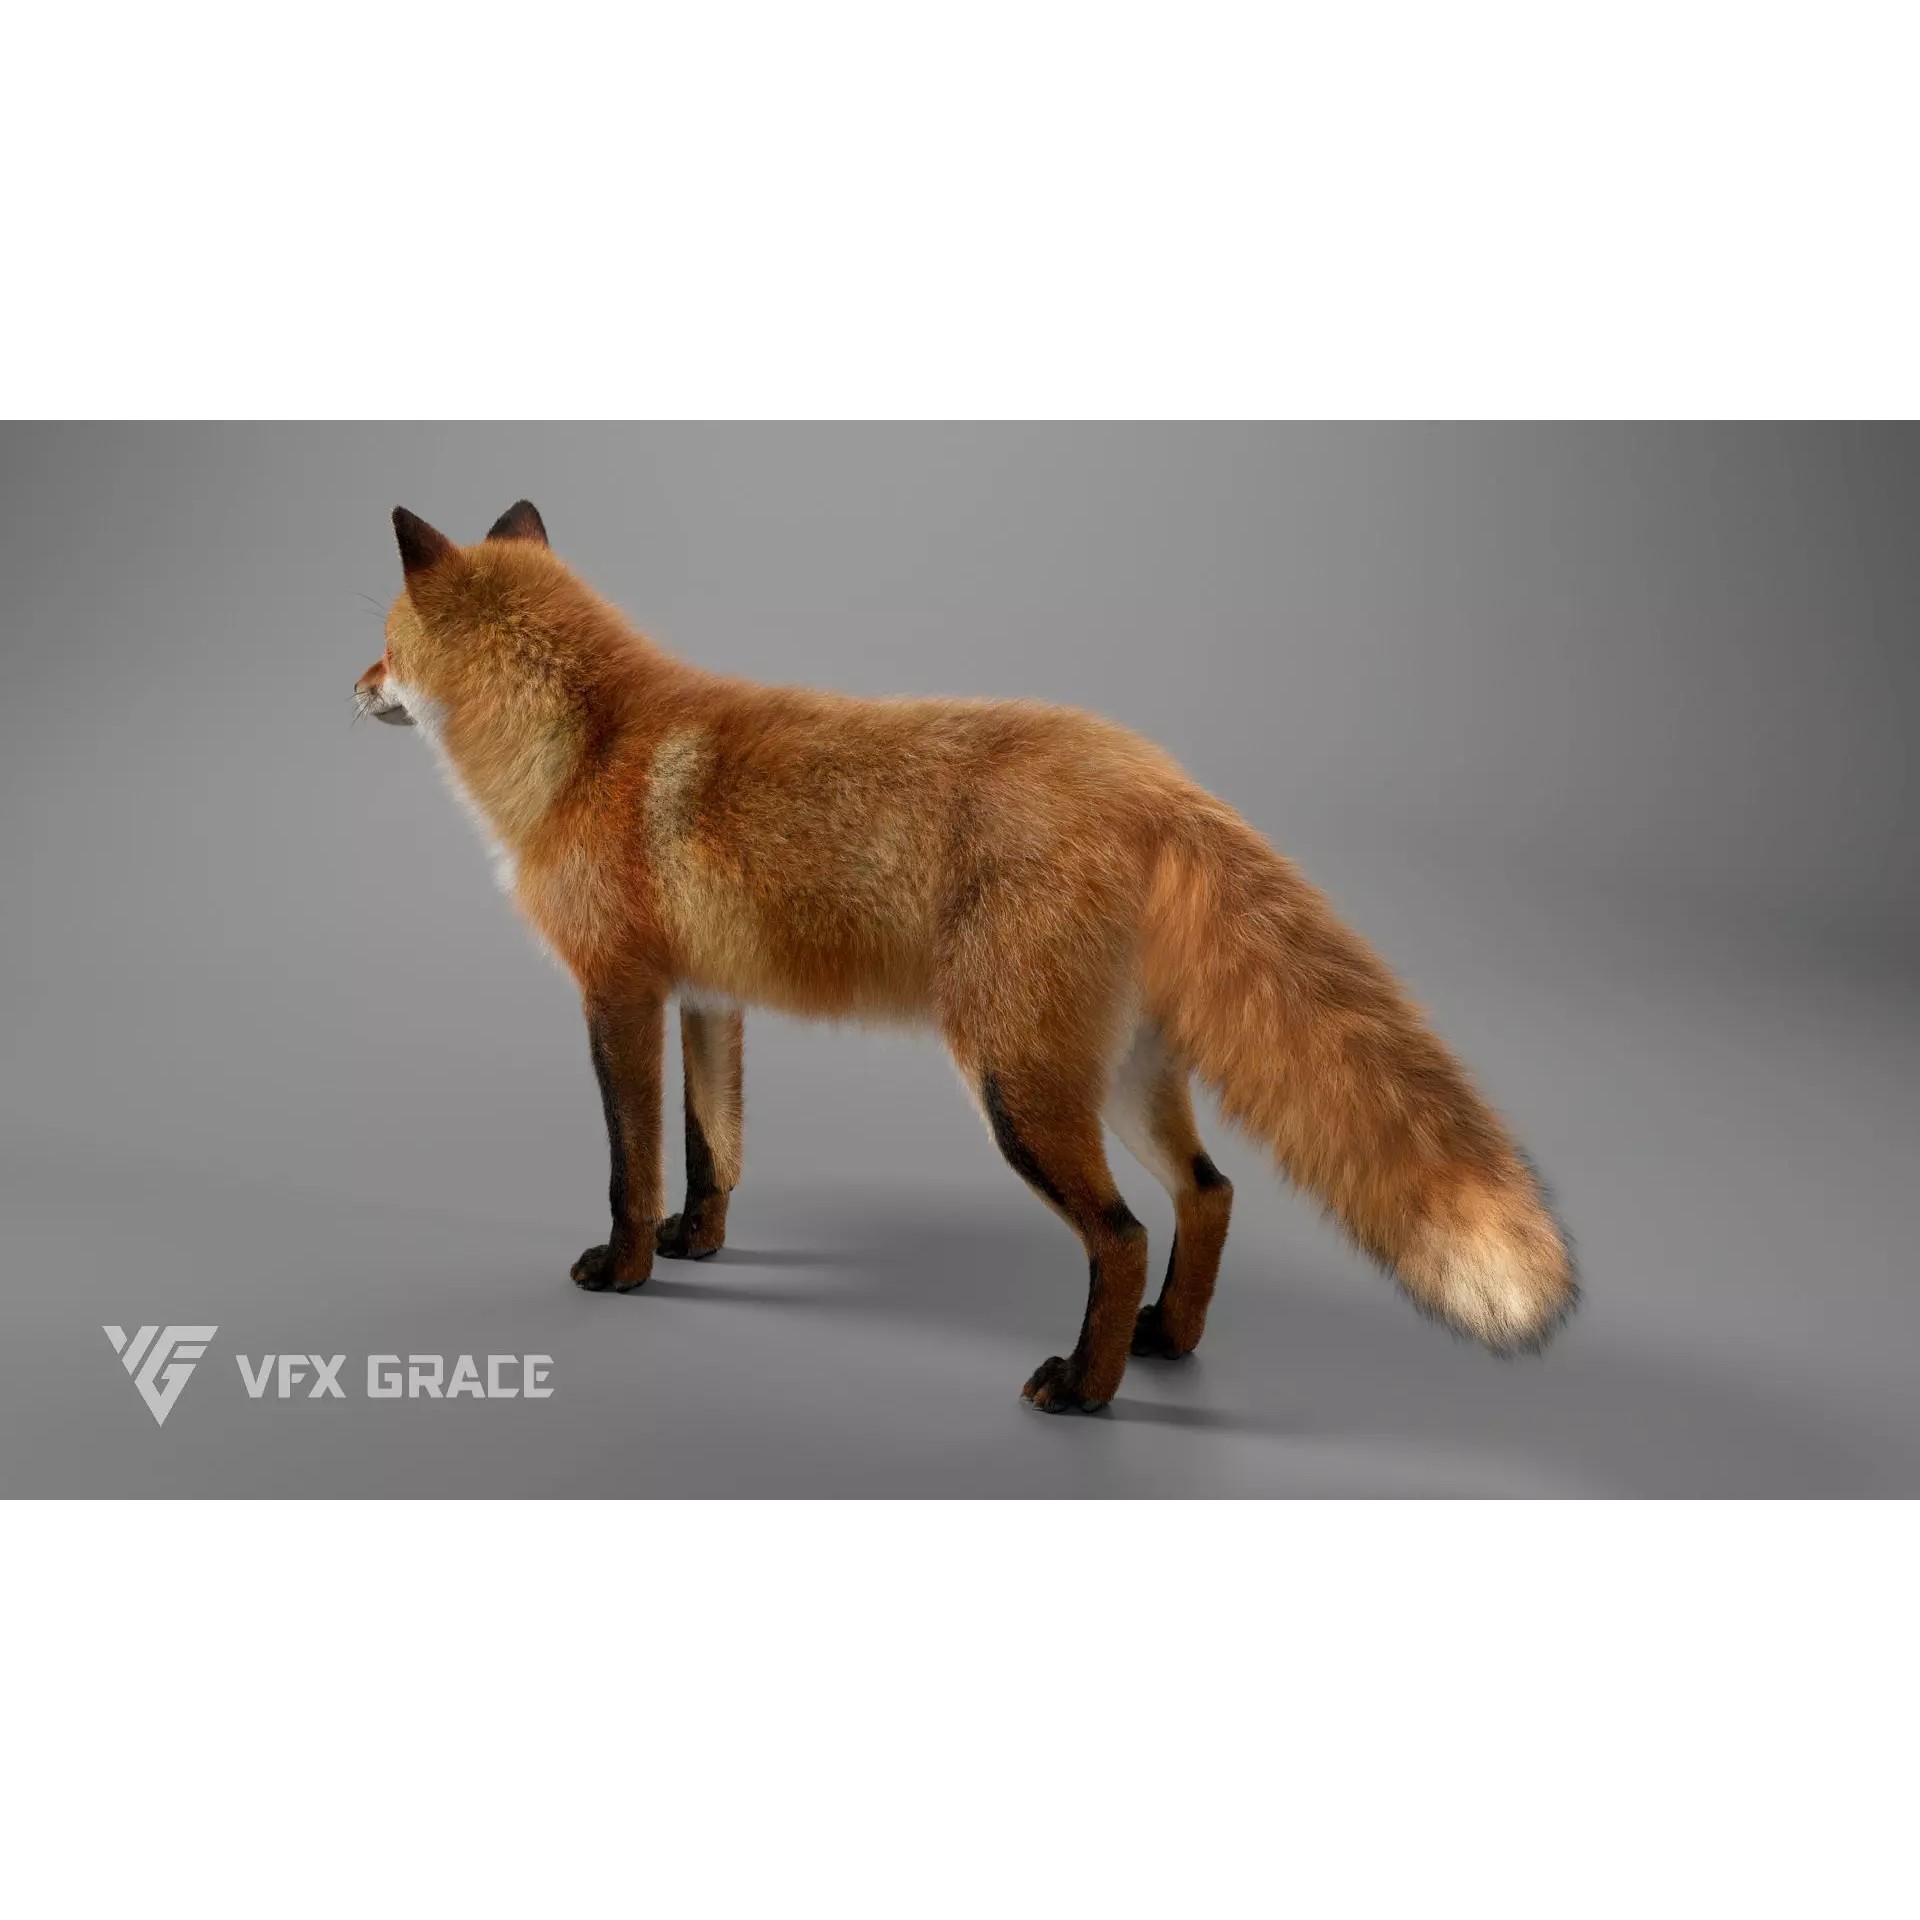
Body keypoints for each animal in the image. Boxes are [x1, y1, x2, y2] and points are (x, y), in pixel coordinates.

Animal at [355, 500, 1576, 1413]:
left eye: (385, 639)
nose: (352, 685)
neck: (581, 749)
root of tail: (1155, 775)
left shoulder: (619, 994)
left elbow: (629, 1163)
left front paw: (625, 1271)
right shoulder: (709, 1001)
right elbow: (715, 1151)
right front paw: (697, 1244)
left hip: (1015, 1089)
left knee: (1124, 1233)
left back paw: (1086, 1389)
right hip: (1116, 1079)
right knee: (1211, 1193)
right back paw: (1168, 1342)